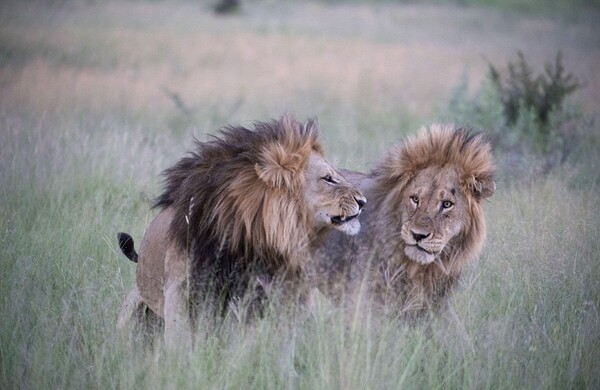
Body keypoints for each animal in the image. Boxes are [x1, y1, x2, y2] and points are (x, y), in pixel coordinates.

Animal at [116, 114, 366, 348]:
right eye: (328, 178)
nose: (363, 201)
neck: (251, 238)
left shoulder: (264, 296)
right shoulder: (181, 290)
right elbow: (180, 340)